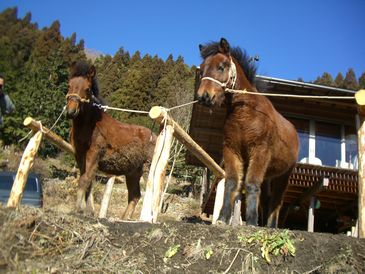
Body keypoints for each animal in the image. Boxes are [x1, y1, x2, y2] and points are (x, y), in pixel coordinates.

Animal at [65, 60, 155, 218]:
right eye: (69, 85)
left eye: (87, 89)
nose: (71, 111)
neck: (91, 126)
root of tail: (155, 135)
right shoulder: (80, 156)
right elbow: (87, 182)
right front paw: (86, 210)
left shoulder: (93, 155)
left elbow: (84, 181)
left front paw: (77, 210)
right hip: (133, 172)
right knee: (135, 195)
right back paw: (124, 218)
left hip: (148, 168)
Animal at [195, 38, 298, 227]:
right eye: (202, 69)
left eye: (221, 66)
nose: (203, 97)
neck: (244, 113)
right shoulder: (232, 150)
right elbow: (231, 183)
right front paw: (222, 218)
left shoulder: (259, 152)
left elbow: (251, 184)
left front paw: (250, 221)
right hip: (268, 175)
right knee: (266, 199)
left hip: (283, 175)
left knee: (277, 201)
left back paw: (271, 226)